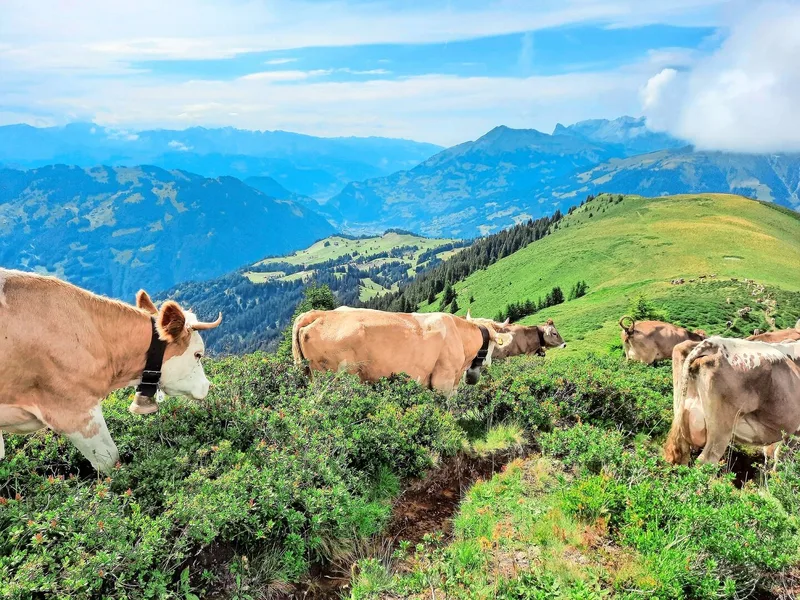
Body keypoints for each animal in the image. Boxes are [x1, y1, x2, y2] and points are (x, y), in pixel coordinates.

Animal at [664, 337, 800, 466]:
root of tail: (714, 343)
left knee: (683, 455)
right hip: (721, 429)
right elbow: (780, 458)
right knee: (706, 460)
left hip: (682, 415)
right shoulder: (794, 434)